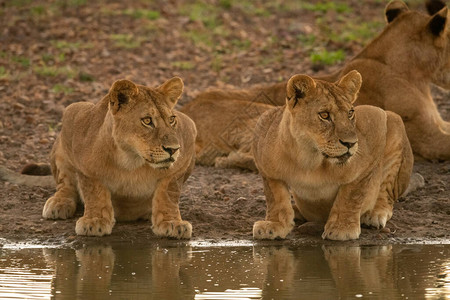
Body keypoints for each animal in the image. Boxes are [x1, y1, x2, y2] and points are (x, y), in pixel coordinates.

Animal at [251, 71, 414, 240]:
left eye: (350, 113)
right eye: (324, 115)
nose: (351, 143)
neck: (309, 159)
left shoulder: (376, 120)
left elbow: (352, 194)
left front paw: (342, 228)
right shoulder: (263, 146)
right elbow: (275, 196)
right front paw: (274, 225)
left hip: (394, 123)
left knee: (386, 189)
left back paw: (375, 214)